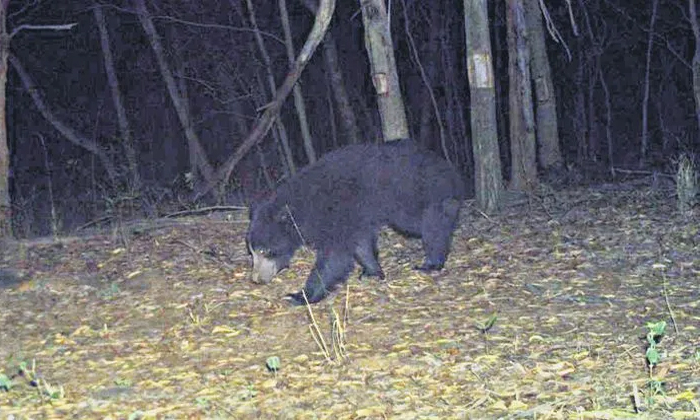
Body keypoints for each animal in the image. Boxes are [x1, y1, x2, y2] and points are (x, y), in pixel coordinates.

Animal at [246, 139, 464, 304]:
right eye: (252, 251)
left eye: (264, 250)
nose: (255, 279)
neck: (310, 205)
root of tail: (447, 166)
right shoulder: (355, 218)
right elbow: (360, 244)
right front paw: (372, 271)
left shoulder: (341, 210)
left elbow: (335, 256)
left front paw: (300, 295)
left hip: (415, 197)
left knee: (430, 224)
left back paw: (431, 262)